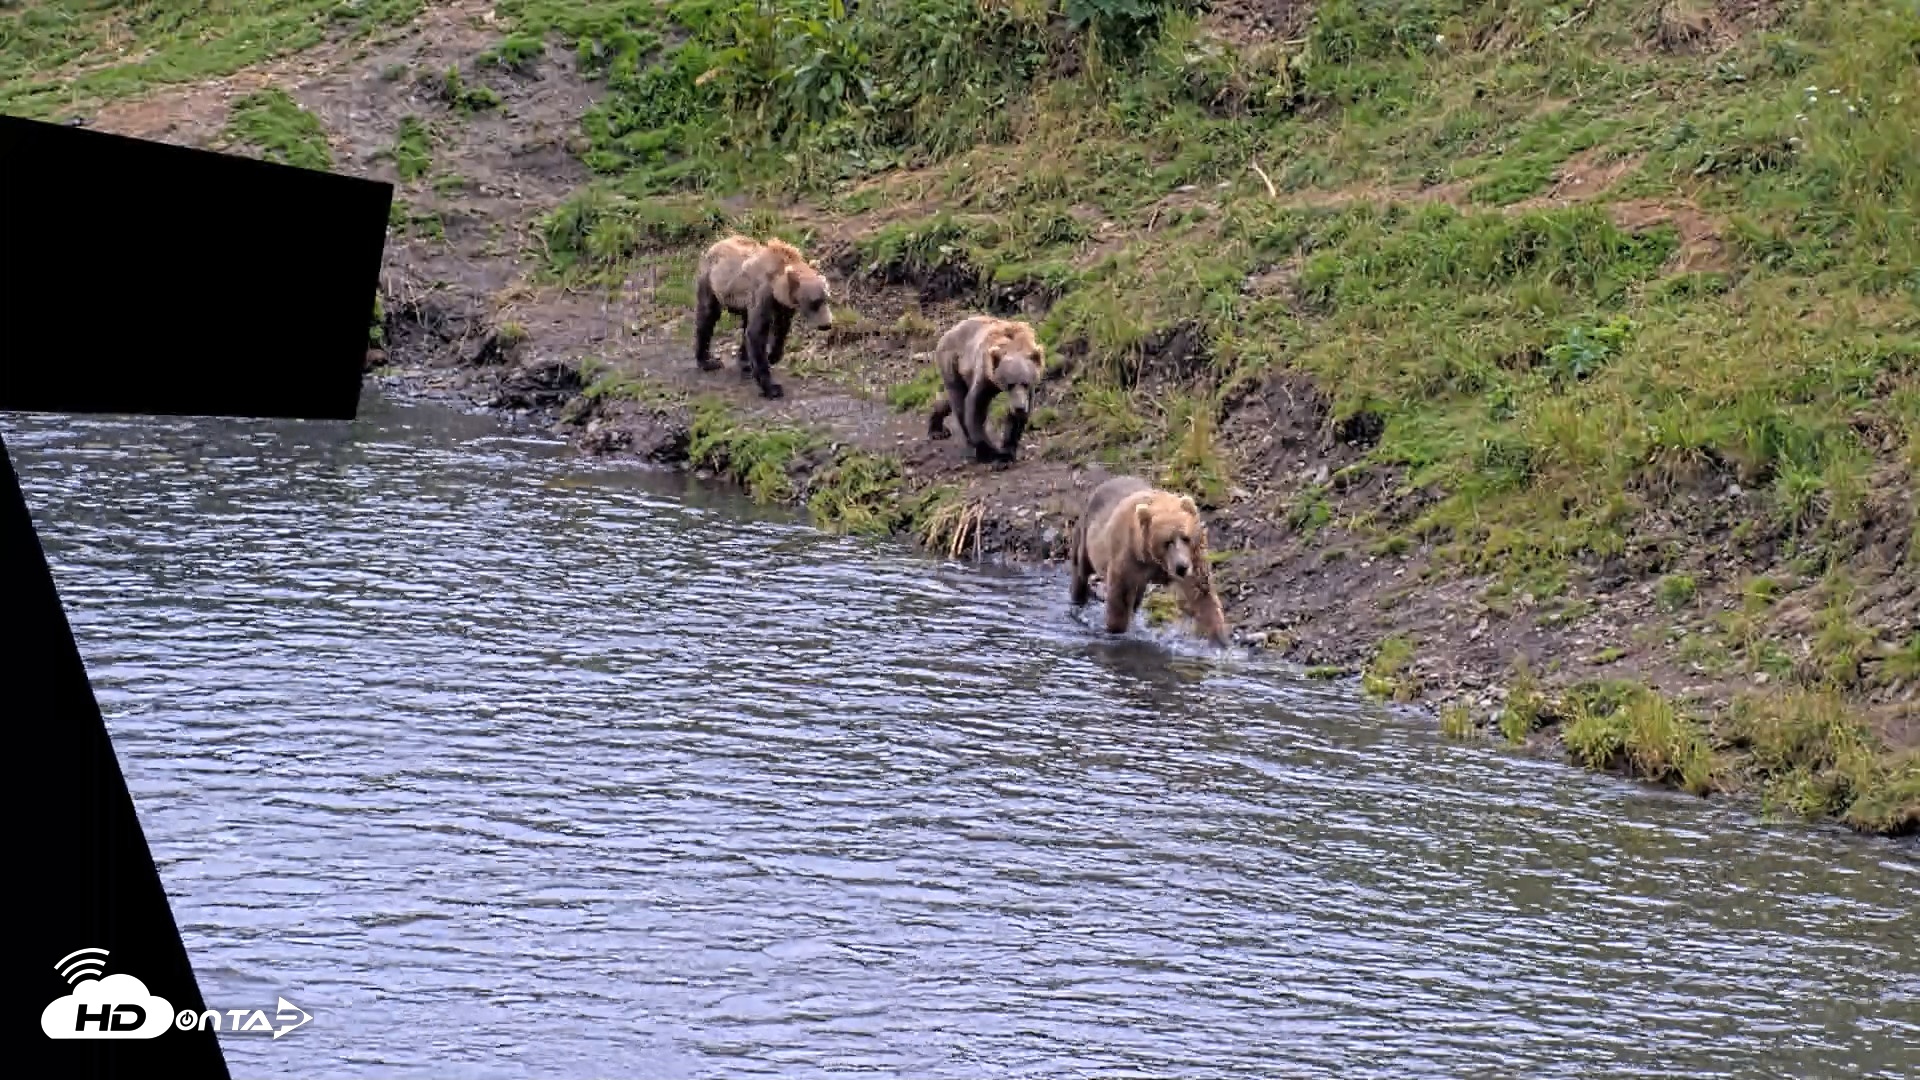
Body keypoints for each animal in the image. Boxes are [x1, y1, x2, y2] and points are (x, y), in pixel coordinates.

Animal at [692, 234, 834, 400]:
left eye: (827, 299)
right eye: (814, 302)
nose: (827, 324)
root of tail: (716, 243)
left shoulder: (783, 304)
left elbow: (781, 328)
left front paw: (773, 355)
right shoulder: (762, 294)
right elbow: (757, 333)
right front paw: (772, 388)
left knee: (744, 325)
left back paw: (744, 361)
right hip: (711, 281)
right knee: (708, 316)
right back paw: (708, 361)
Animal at [926, 314, 1044, 465]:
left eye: (1025, 383)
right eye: (1010, 384)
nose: (1019, 407)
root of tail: (948, 332)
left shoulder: (1028, 390)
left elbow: (1017, 419)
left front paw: (1006, 454)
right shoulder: (984, 374)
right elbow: (976, 407)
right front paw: (990, 453)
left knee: (947, 401)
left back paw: (938, 429)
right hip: (952, 363)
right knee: (958, 400)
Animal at [1068, 475, 1230, 645]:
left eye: (1186, 538)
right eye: (1167, 542)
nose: (1182, 567)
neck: (1154, 559)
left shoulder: (1194, 556)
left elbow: (1202, 592)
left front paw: (1220, 638)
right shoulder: (1128, 556)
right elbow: (1120, 595)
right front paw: (1116, 629)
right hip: (1087, 533)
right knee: (1080, 569)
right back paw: (1078, 599)